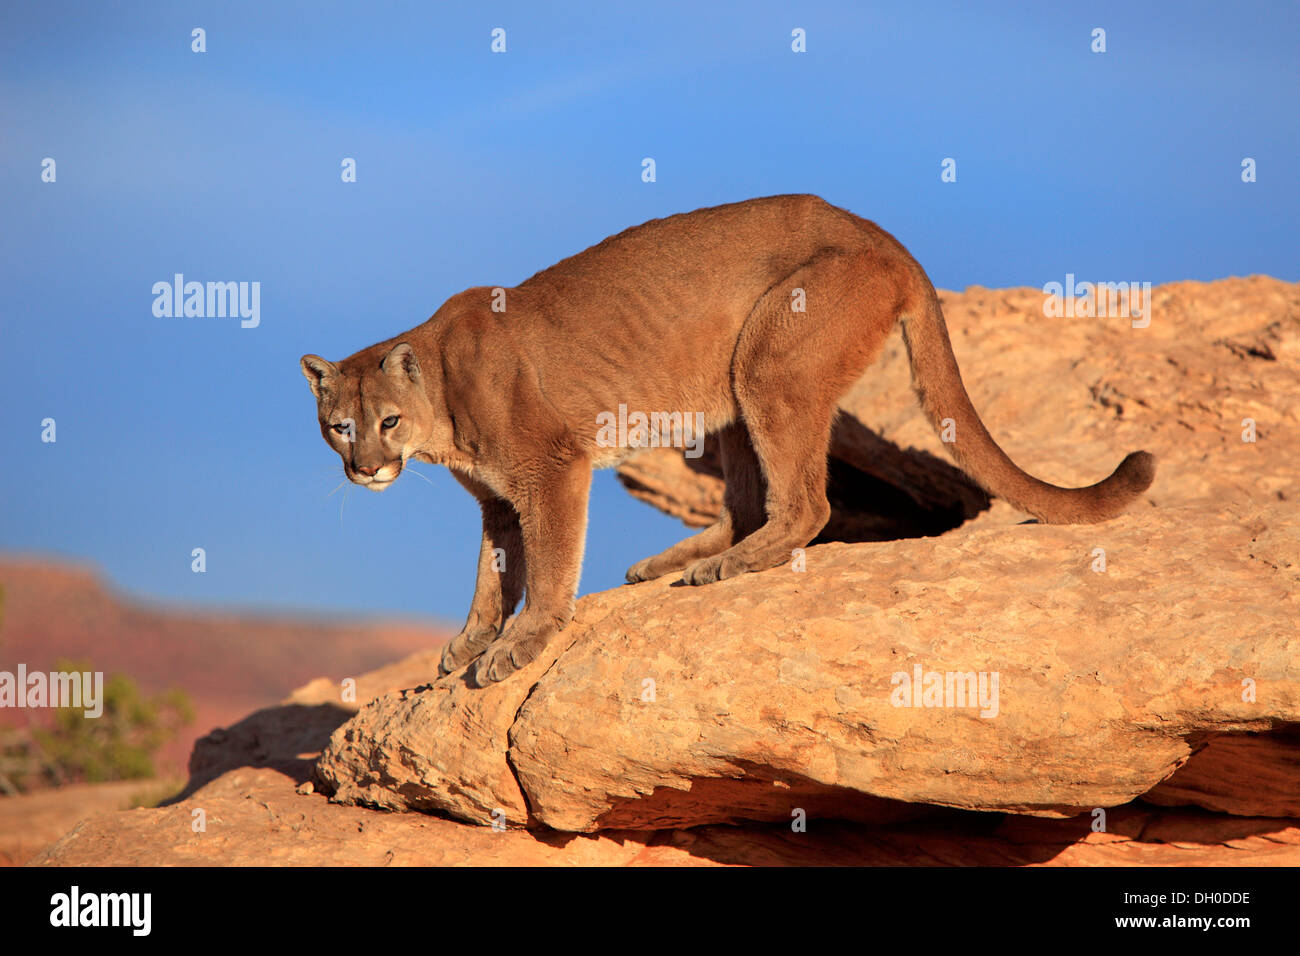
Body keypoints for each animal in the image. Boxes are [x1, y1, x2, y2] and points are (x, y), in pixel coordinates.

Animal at [299, 196, 1154, 686]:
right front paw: (471, 641)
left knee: (807, 504)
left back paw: (726, 566)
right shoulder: (498, 502)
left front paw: (521, 644)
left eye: (387, 421)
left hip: (767, 363)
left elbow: (547, 570)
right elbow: (489, 575)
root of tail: (881, 233)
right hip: (732, 399)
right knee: (752, 503)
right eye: (339, 426)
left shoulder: (551, 468)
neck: (441, 393)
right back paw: (675, 562)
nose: (365, 469)